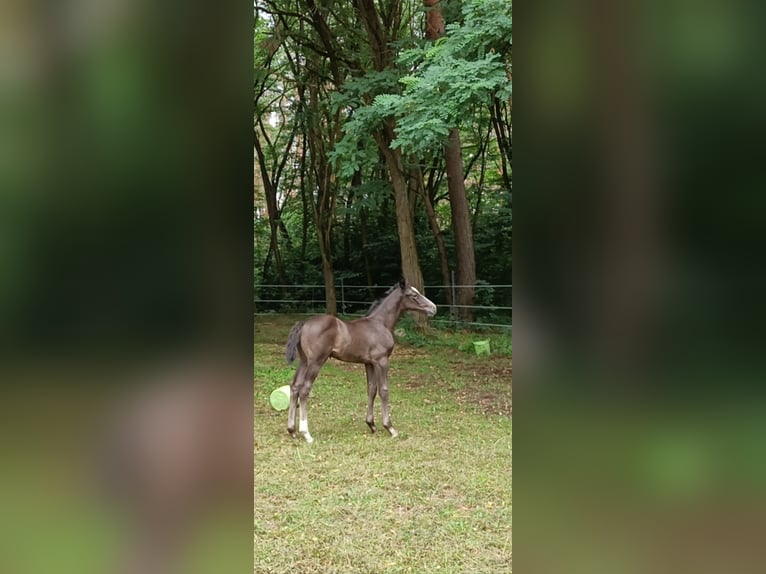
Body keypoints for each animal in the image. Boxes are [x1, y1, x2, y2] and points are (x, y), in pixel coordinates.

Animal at [284, 282, 438, 444]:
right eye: (414, 295)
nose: (433, 308)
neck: (380, 324)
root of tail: (303, 323)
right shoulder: (382, 361)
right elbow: (384, 390)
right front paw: (390, 428)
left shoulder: (369, 363)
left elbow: (371, 390)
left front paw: (371, 425)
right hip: (316, 362)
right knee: (305, 389)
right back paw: (306, 433)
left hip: (304, 361)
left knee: (295, 386)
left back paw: (292, 430)